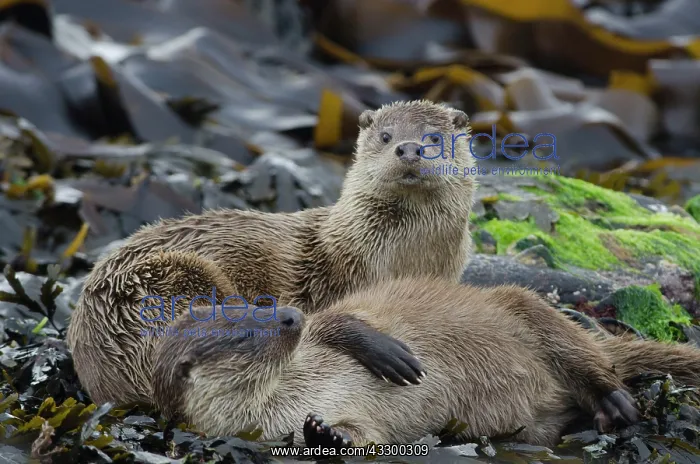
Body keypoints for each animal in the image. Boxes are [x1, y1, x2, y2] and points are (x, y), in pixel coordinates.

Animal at [149, 277, 700, 448]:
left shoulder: (322, 332)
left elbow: (338, 319)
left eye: (261, 305)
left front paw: (390, 354)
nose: (289, 316)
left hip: (526, 306)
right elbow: (366, 435)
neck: (296, 391)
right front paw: (325, 432)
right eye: (246, 331)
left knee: (589, 360)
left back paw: (615, 403)